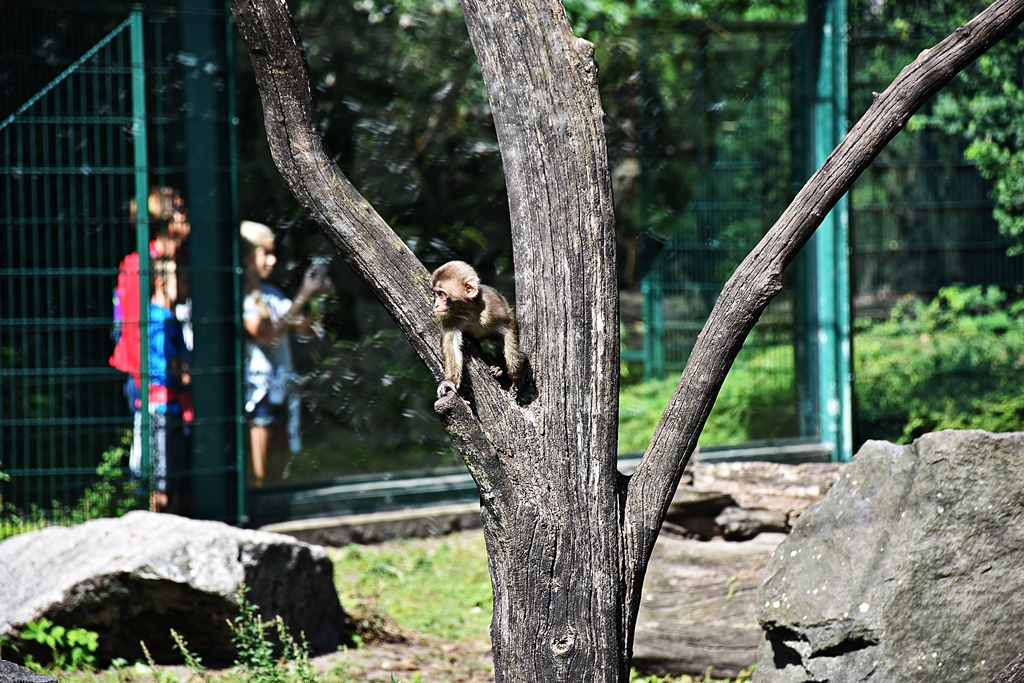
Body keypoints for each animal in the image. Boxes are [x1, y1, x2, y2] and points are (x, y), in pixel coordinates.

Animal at [431, 260, 524, 399]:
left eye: (441, 294)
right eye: (435, 294)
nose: (436, 305)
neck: (469, 312)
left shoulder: (493, 306)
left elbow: (508, 332)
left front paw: (516, 379)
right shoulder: (452, 318)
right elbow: (451, 342)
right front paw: (451, 381)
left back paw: (499, 365)